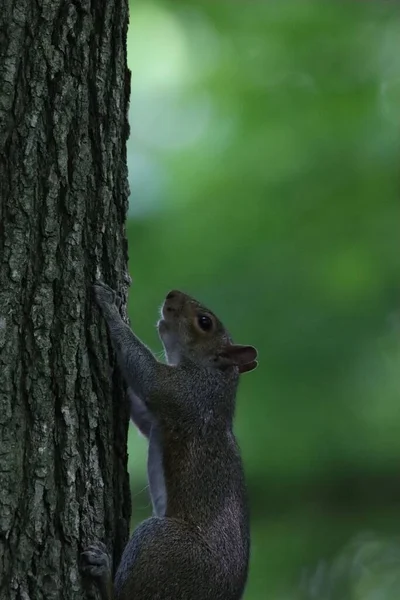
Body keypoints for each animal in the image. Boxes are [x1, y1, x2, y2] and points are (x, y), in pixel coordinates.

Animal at [80, 282, 260, 600]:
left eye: (205, 322)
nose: (172, 294)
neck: (214, 379)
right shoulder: (162, 414)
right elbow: (143, 414)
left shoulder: (183, 394)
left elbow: (148, 376)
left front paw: (110, 308)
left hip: (160, 544)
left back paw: (102, 571)